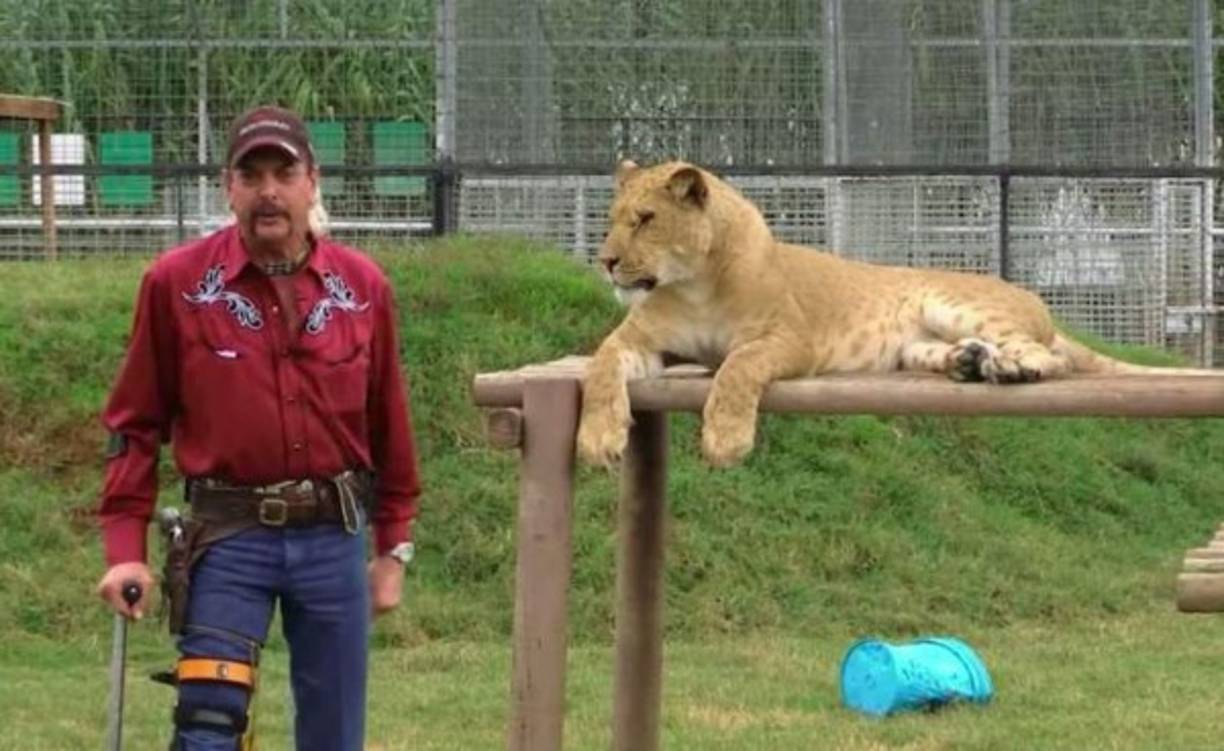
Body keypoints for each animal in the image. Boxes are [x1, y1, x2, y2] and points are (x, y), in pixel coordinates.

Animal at [576, 159, 1220, 468]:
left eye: (645, 220)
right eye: (612, 219)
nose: (604, 261)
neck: (692, 286)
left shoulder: (790, 340)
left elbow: (736, 369)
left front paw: (726, 441)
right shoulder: (637, 340)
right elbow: (599, 368)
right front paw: (598, 440)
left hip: (954, 301)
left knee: (1045, 355)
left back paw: (1012, 368)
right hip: (917, 343)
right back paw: (970, 364)